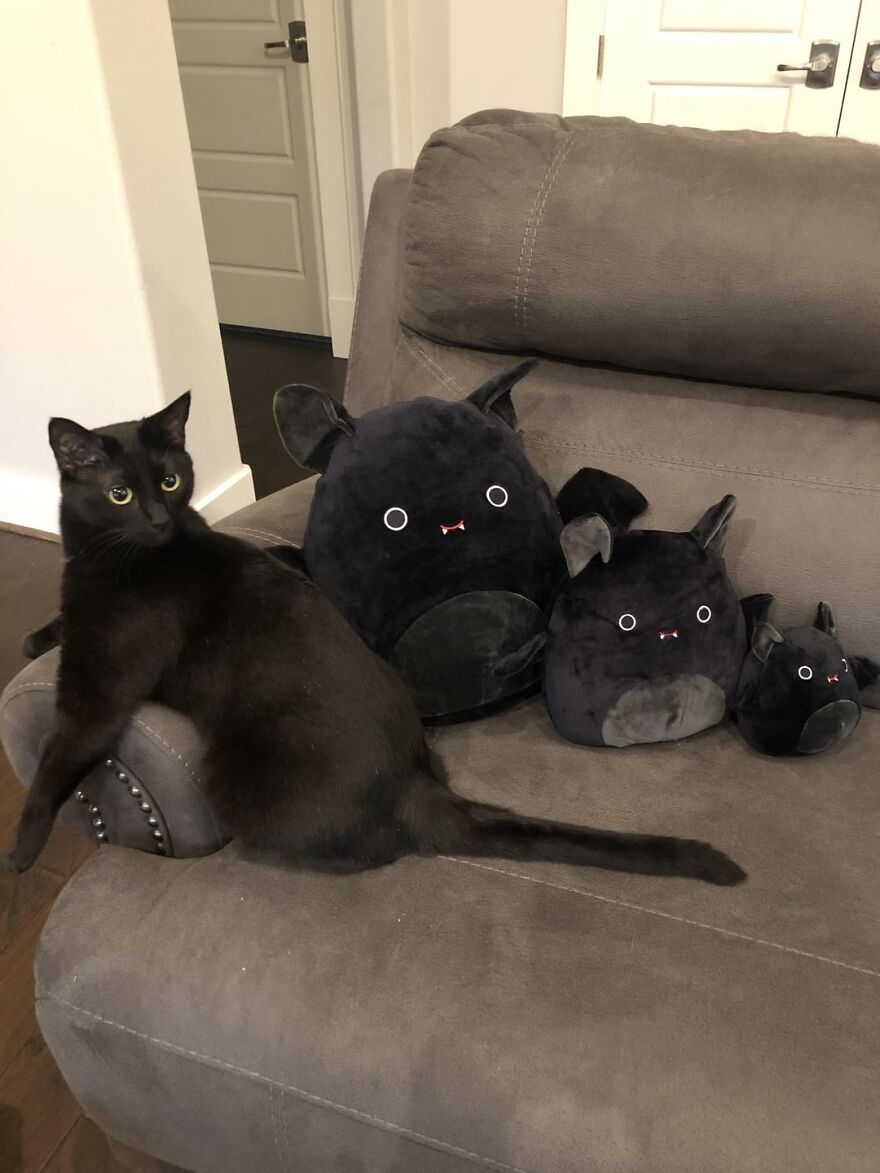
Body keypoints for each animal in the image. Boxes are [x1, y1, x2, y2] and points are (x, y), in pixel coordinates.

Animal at [5, 391, 746, 882]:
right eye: (121, 493)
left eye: (168, 478)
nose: (158, 518)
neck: (107, 558)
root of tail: (416, 787)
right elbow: (59, 628)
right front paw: (34, 638)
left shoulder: (100, 689)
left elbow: (56, 758)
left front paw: (18, 852)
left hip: (235, 777)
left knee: (369, 852)